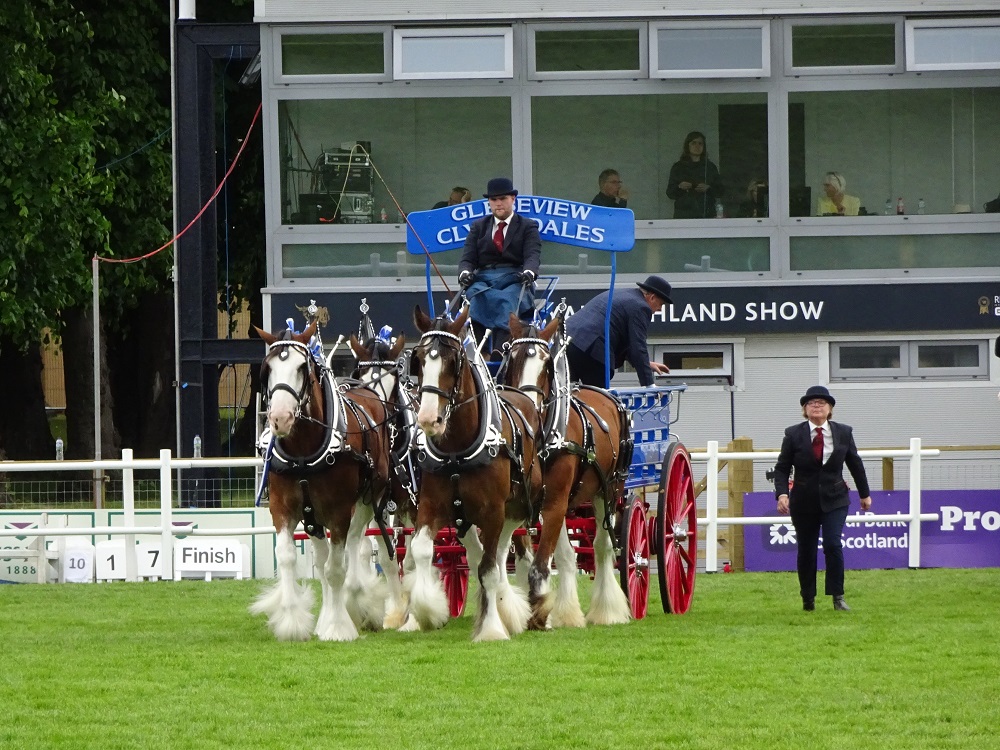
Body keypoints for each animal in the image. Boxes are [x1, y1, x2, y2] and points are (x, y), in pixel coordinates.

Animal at [250, 320, 390, 644]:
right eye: (268, 367)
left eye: (302, 367)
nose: (280, 418)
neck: (303, 451)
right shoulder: (283, 508)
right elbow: (288, 558)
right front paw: (292, 621)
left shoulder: (338, 511)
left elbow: (337, 569)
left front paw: (338, 626)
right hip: (312, 514)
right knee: (322, 558)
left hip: (367, 500)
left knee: (355, 544)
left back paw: (355, 603)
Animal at [406, 306, 544, 640]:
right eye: (419, 358)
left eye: (453, 360)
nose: (428, 418)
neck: (457, 451)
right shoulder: (431, 506)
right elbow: (420, 550)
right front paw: (428, 611)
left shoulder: (494, 511)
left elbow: (489, 569)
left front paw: (491, 628)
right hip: (464, 516)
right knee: (479, 550)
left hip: (518, 506)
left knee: (502, 551)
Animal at [500, 312, 632, 628]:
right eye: (511, 359)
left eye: (548, 364)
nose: (527, 406)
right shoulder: (534, 501)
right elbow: (545, 560)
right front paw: (546, 611)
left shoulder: (555, 501)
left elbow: (539, 567)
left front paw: (539, 614)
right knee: (569, 554)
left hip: (610, 489)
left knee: (602, 546)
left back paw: (607, 610)